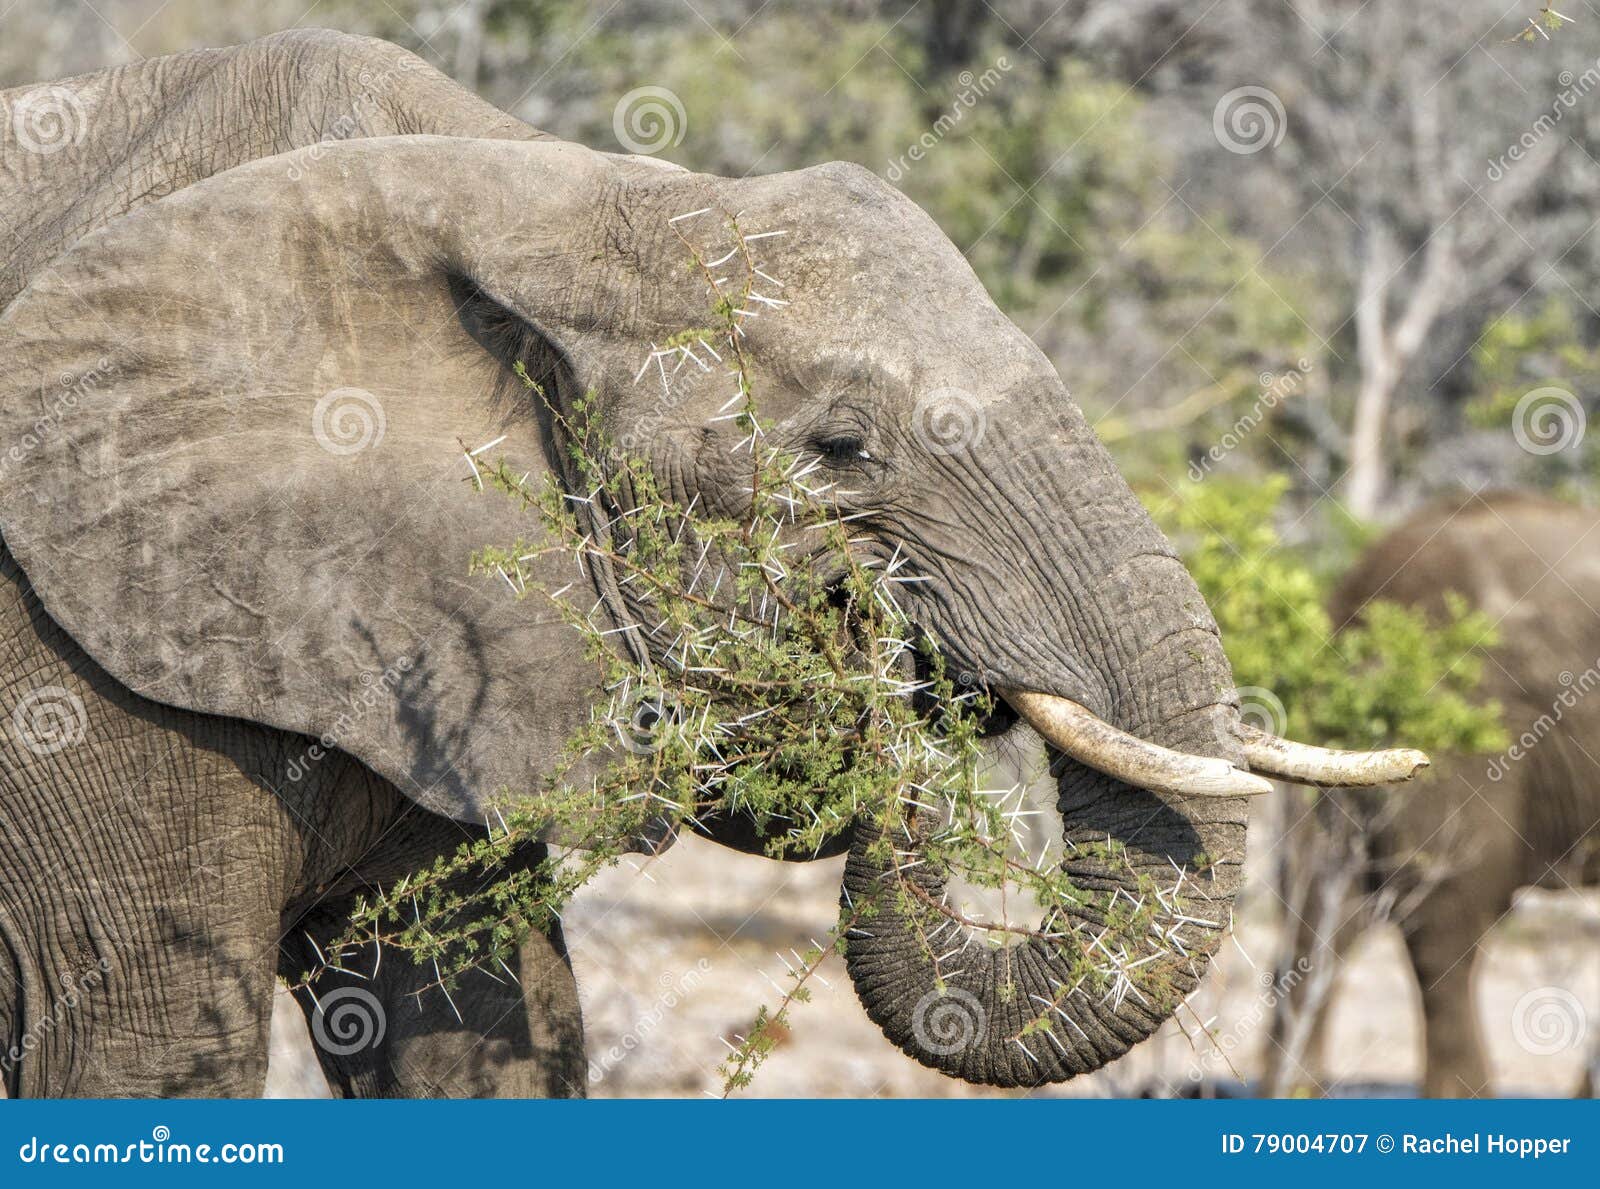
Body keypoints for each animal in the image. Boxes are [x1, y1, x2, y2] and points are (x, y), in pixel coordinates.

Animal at [0, 29, 1420, 1097]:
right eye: (841, 448)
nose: (896, 675)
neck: (539, 186)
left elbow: (476, 1026)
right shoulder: (82, 660)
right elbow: (147, 1049)